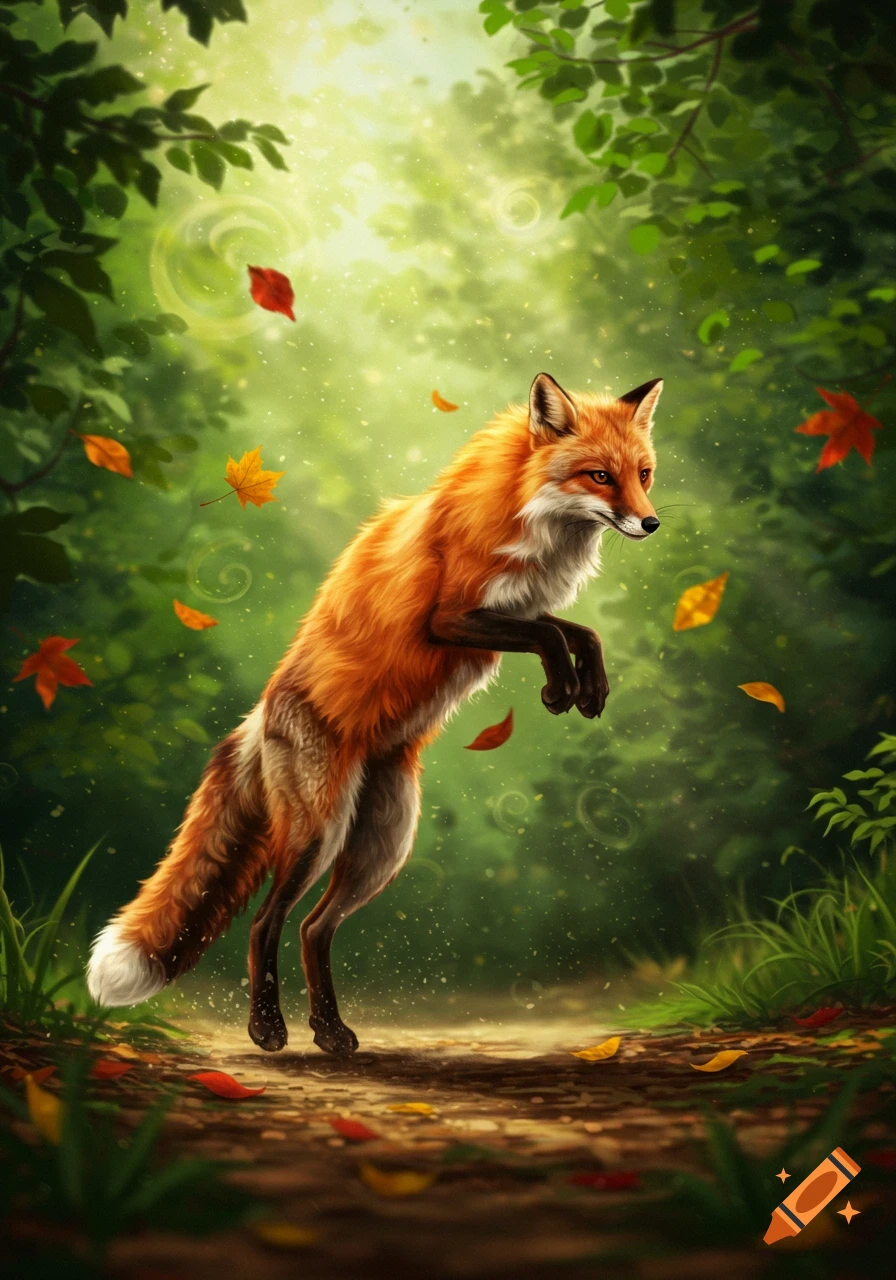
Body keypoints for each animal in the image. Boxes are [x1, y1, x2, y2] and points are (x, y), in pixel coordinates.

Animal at [87, 372, 663, 1055]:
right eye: (600, 476)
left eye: (644, 474)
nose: (652, 522)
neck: (528, 512)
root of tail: (260, 715)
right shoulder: (450, 617)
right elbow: (550, 632)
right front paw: (562, 689)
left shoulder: (512, 609)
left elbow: (578, 630)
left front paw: (588, 688)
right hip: (317, 833)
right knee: (264, 923)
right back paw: (267, 1027)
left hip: (383, 845)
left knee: (313, 929)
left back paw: (331, 1031)